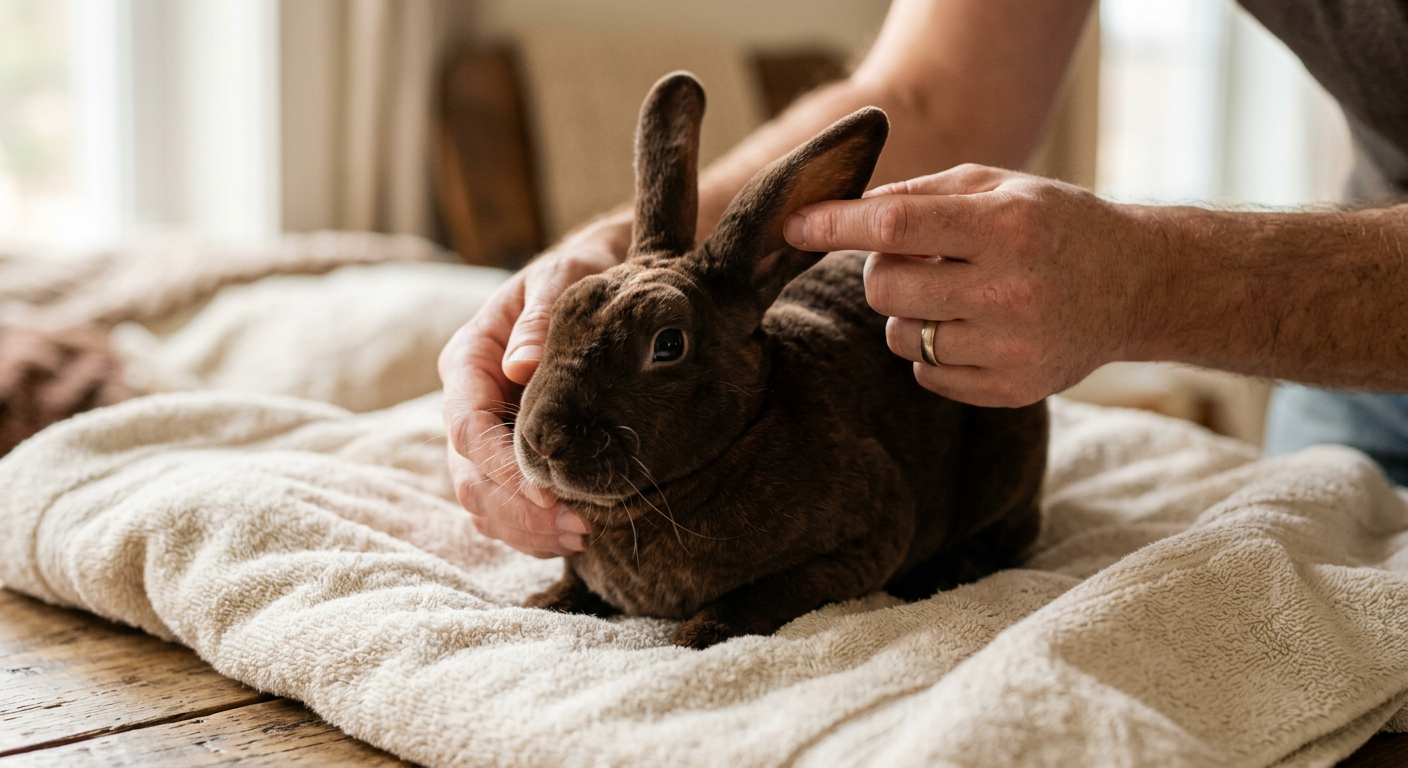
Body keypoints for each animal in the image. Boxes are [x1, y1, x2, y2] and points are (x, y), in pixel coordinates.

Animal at [516, 72, 1048, 649]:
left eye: (668, 344)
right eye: (559, 312)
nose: (543, 440)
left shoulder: (860, 544)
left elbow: (763, 595)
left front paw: (693, 636)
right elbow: (575, 580)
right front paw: (542, 602)